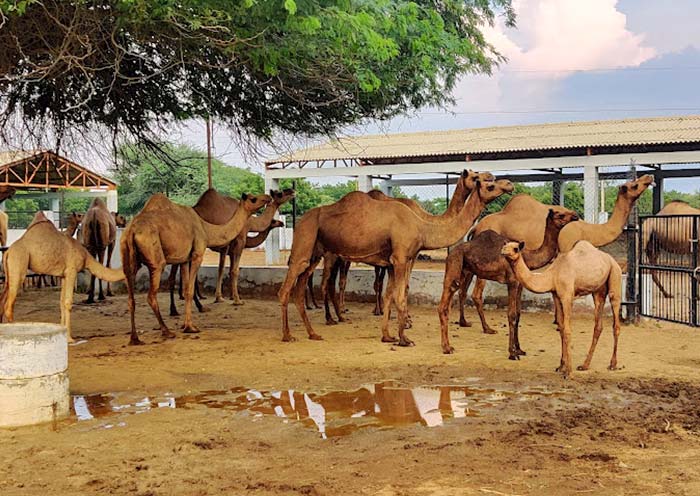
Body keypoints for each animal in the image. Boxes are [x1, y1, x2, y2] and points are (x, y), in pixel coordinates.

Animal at [0, 212, 125, 341]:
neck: (86, 257)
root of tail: (8, 252)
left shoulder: (64, 275)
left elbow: (61, 302)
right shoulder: (71, 271)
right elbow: (68, 303)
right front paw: (70, 338)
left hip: (9, 273)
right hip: (19, 264)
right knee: (9, 306)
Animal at [121, 192, 271, 345]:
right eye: (253, 199)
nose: (268, 197)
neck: (206, 228)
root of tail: (131, 231)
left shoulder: (185, 259)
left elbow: (186, 288)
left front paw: (184, 325)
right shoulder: (197, 254)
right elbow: (189, 290)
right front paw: (190, 327)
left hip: (127, 258)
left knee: (130, 298)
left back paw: (135, 338)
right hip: (156, 259)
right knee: (151, 294)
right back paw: (167, 331)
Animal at [279, 178, 514, 345]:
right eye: (489, 183)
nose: (509, 184)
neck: (423, 227)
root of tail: (300, 220)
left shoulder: (392, 263)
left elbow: (389, 295)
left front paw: (388, 336)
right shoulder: (401, 258)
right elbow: (400, 296)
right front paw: (404, 338)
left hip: (316, 252)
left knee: (300, 289)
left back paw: (313, 333)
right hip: (305, 242)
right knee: (287, 288)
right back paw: (289, 335)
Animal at [437, 208, 579, 356]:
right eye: (560, 214)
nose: (575, 216)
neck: (527, 258)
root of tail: (451, 253)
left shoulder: (520, 284)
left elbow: (518, 314)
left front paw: (520, 349)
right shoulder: (512, 282)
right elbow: (511, 315)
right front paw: (512, 353)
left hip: (466, 270)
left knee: (460, 293)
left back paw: (468, 328)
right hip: (454, 265)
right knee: (446, 302)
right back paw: (447, 347)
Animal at [501, 240, 622, 378]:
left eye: (515, 248)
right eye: (505, 246)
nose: (503, 251)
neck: (553, 274)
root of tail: (611, 259)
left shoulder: (567, 296)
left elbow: (568, 330)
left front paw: (568, 372)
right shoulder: (556, 295)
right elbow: (561, 328)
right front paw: (561, 366)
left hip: (615, 276)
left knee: (616, 321)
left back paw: (613, 364)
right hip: (598, 290)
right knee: (598, 325)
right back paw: (584, 365)